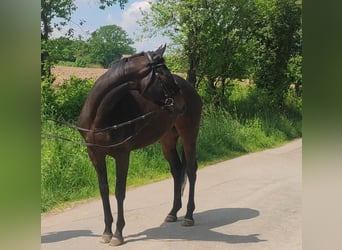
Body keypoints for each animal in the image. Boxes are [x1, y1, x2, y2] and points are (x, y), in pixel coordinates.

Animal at [77, 45, 202, 246]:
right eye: (164, 76)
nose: (181, 104)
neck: (99, 117)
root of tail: (191, 89)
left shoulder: (122, 154)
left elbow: (119, 191)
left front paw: (118, 234)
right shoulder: (95, 154)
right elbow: (104, 190)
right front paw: (106, 232)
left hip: (189, 135)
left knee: (191, 170)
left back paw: (189, 216)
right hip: (167, 140)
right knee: (177, 171)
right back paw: (173, 213)